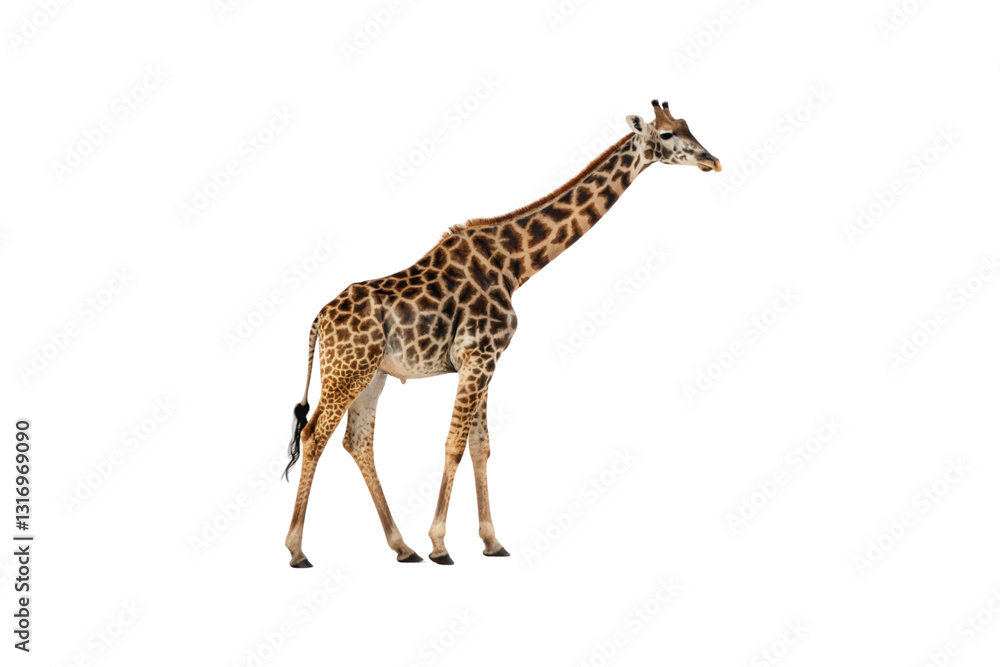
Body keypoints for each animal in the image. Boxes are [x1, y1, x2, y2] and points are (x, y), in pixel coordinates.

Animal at [283, 100, 720, 567]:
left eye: (688, 126)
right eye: (669, 134)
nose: (713, 161)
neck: (514, 266)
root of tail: (318, 320)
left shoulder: (485, 362)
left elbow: (480, 446)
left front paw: (491, 542)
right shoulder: (477, 357)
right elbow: (454, 443)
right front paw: (440, 544)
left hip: (372, 374)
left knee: (358, 441)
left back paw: (402, 547)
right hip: (346, 372)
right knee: (314, 435)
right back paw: (298, 550)